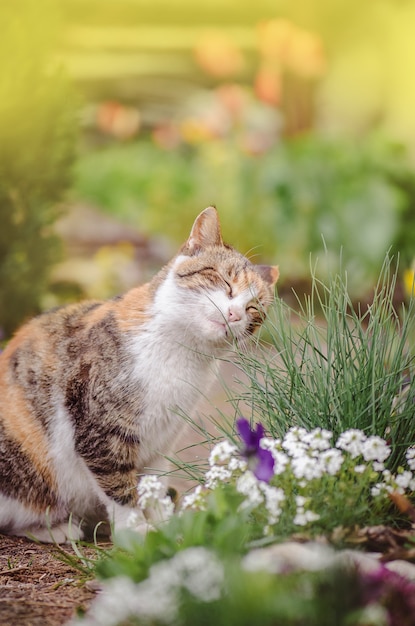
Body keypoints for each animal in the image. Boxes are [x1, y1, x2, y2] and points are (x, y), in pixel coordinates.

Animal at [0, 207, 280, 540]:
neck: (183, 354)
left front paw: (164, 523)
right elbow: (119, 488)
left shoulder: (163, 436)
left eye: (254, 309)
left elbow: (154, 483)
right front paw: (136, 531)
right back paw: (56, 529)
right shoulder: (102, 433)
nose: (235, 314)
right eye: (225, 281)